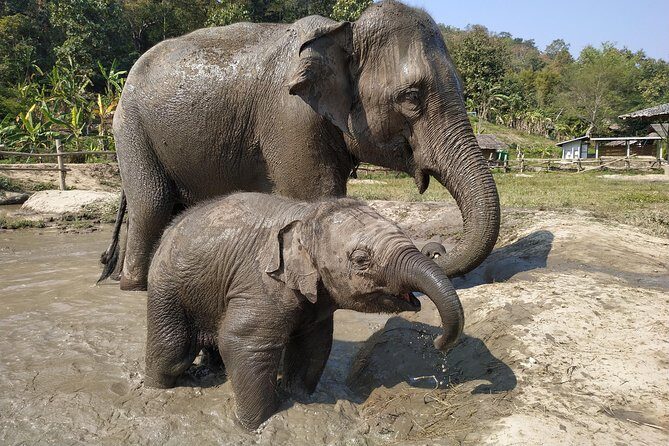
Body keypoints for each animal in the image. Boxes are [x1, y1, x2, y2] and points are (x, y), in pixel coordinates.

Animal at [99, 0, 500, 291]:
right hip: (131, 127)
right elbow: (316, 197)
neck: (345, 29)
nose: (436, 248)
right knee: (153, 203)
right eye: (412, 97)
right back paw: (133, 285)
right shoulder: (291, 117)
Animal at [145, 192, 464, 429]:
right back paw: (156, 389)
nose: (438, 342)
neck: (307, 215)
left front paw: (298, 398)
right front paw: (254, 426)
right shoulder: (261, 282)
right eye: (361, 259)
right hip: (167, 287)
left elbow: (314, 344)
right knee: (172, 352)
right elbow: (242, 342)